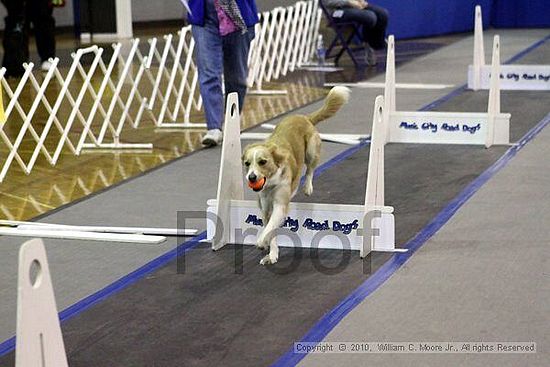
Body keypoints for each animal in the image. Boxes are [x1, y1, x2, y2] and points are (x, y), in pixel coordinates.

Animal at [243, 86, 354, 264]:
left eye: (262, 162)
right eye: (247, 163)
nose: (251, 177)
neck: (271, 183)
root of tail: (303, 117)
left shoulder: (280, 205)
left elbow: (269, 228)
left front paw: (261, 241)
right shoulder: (266, 208)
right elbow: (270, 229)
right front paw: (272, 253)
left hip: (311, 151)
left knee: (309, 169)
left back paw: (307, 187)